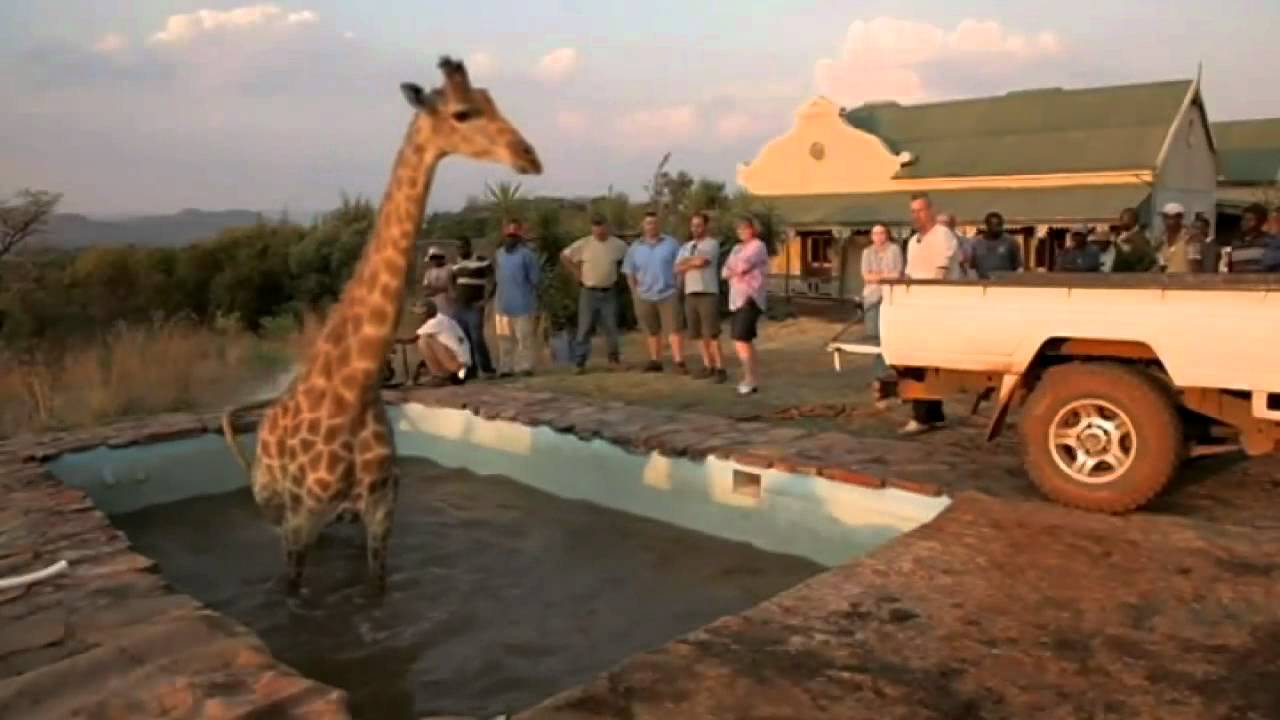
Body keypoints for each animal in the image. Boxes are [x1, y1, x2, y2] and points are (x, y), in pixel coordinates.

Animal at [221, 56, 542, 595]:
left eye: (491, 99)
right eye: (461, 113)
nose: (529, 156)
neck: (353, 390)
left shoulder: (379, 508)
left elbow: (375, 592)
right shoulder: (302, 518)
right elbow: (294, 595)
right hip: (275, 505)